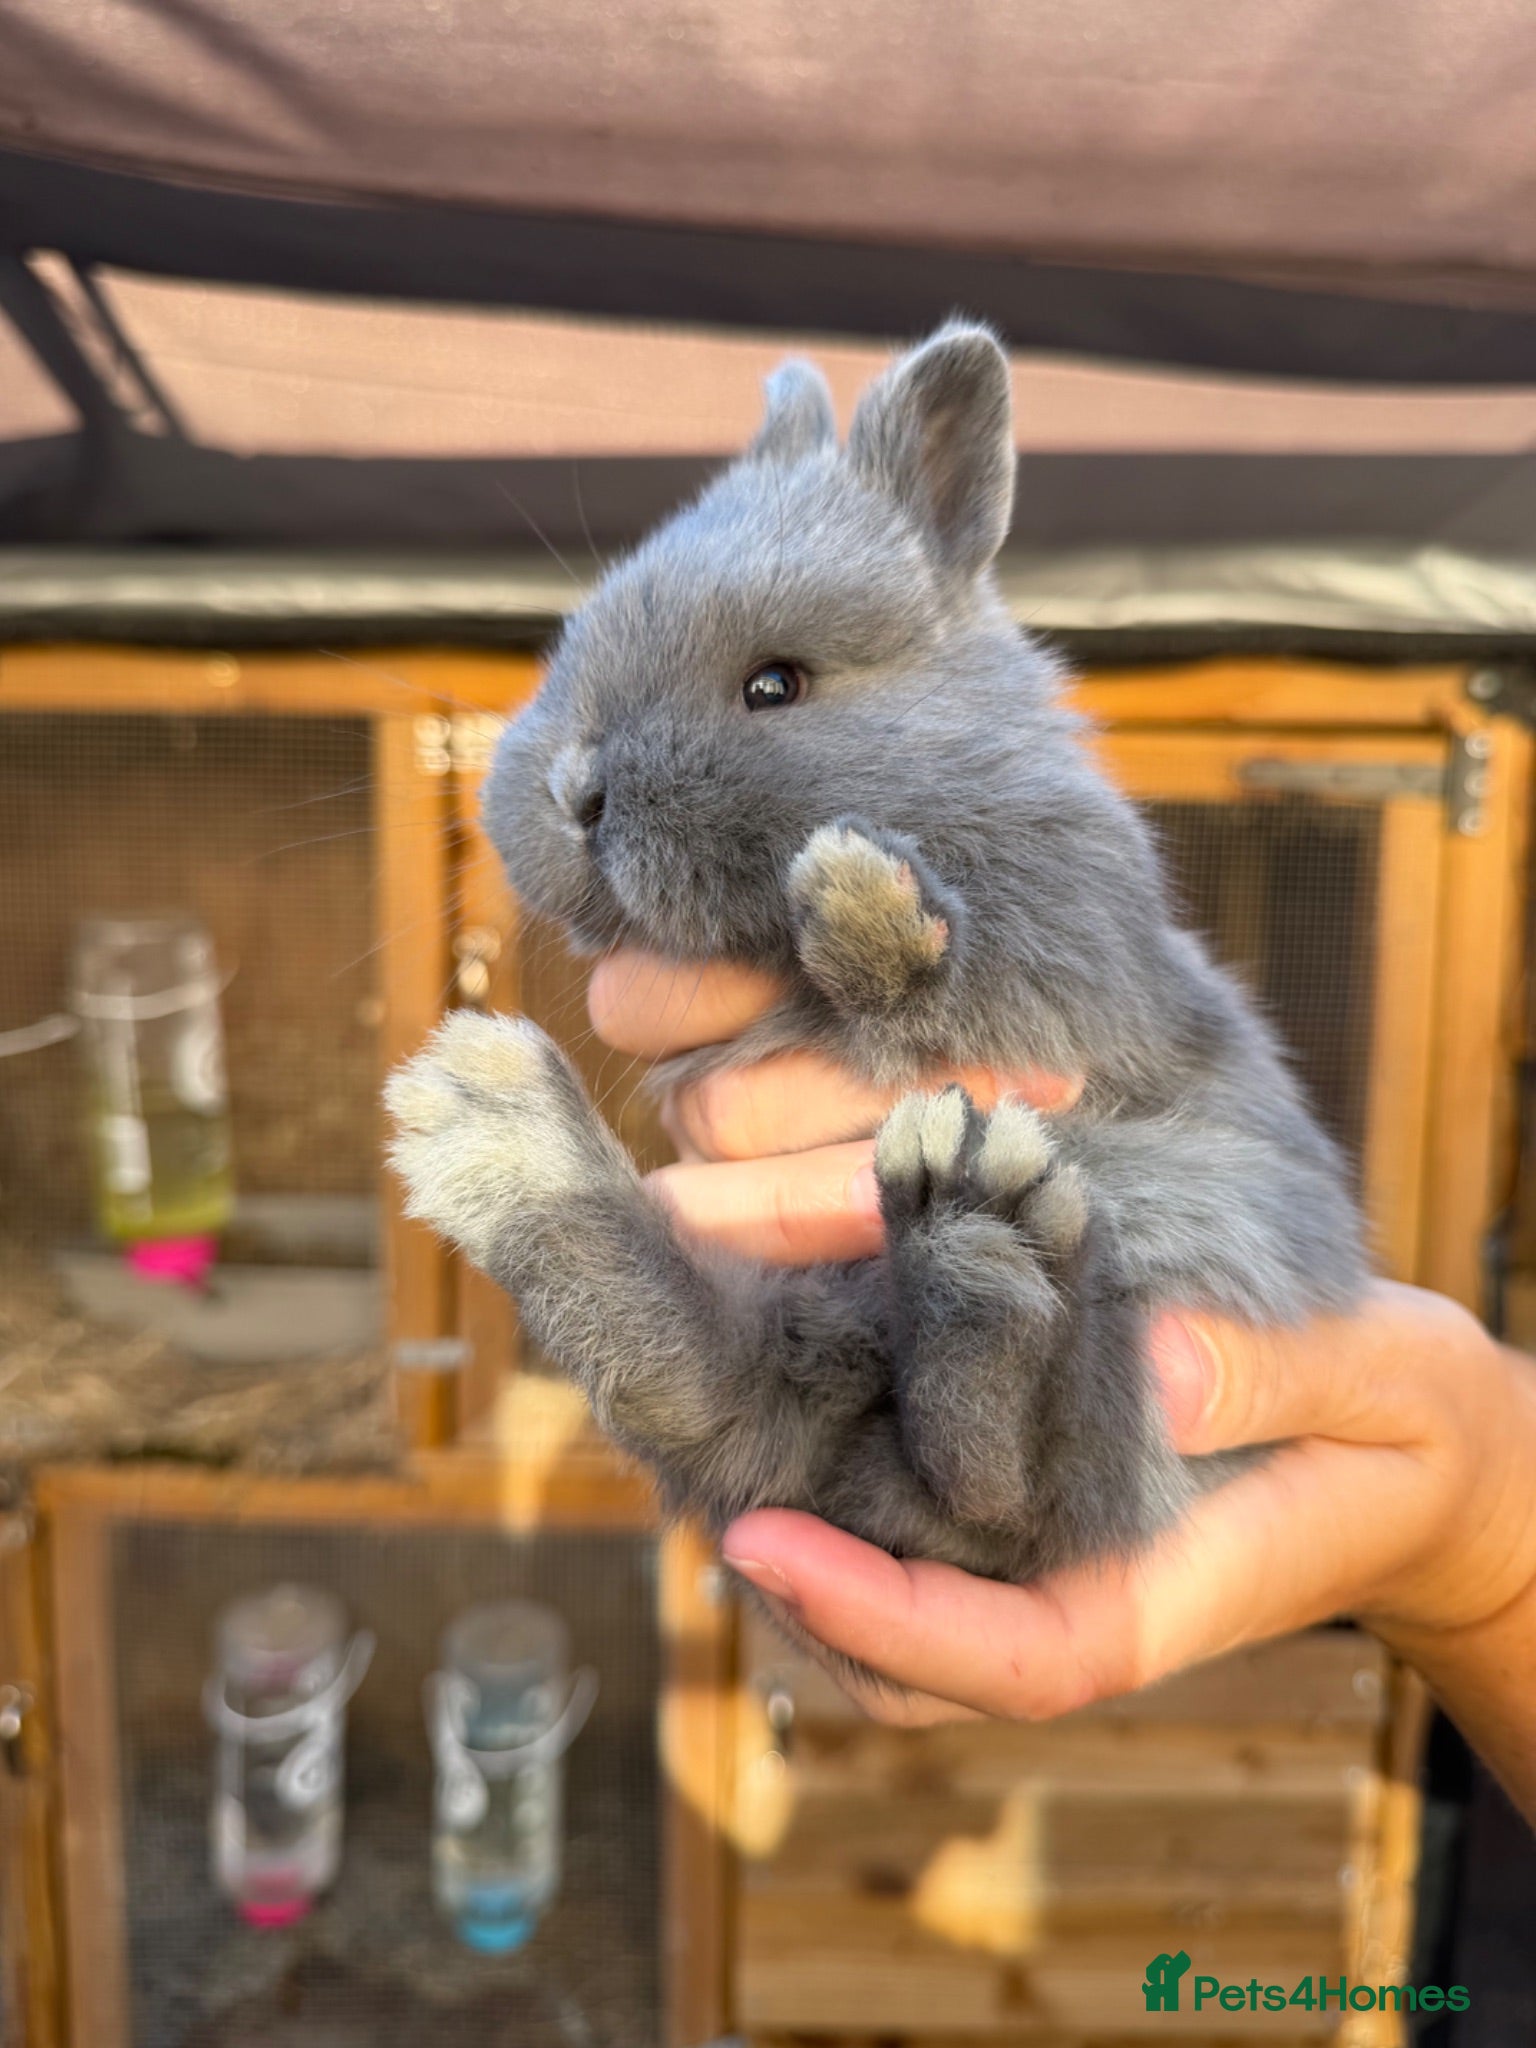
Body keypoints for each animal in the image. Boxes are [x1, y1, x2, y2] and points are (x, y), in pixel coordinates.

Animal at [386, 321, 1368, 1592]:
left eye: (776, 684)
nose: (573, 792)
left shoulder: (1083, 950)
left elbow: (959, 971)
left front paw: (861, 901)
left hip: (1176, 1233)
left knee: (1014, 1500)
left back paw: (968, 1240)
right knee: (752, 1407)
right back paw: (494, 1120)